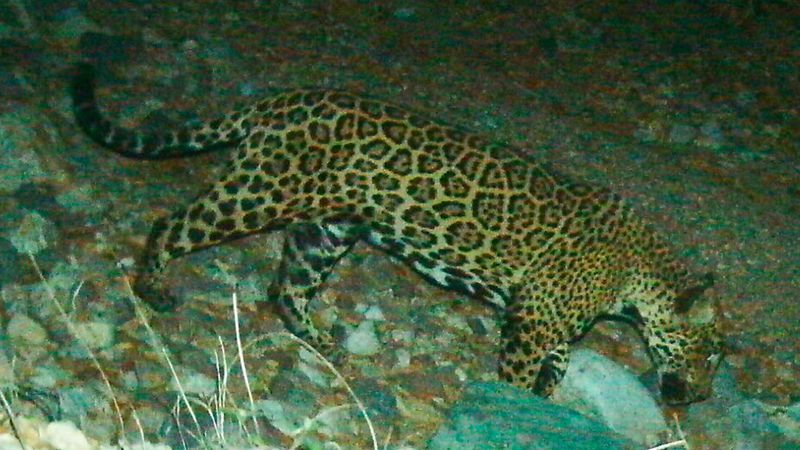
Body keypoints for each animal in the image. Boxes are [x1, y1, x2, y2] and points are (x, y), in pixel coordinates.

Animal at [71, 62, 723, 405]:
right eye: (709, 353)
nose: (699, 397)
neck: (636, 277)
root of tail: (282, 100)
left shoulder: (549, 319)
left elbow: (559, 363)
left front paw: (542, 400)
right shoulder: (533, 319)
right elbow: (522, 370)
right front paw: (514, 402)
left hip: (328, 231)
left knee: (286, 288)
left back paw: (323, 342)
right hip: (259, 193)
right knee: (175, 223)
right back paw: (153, 287)